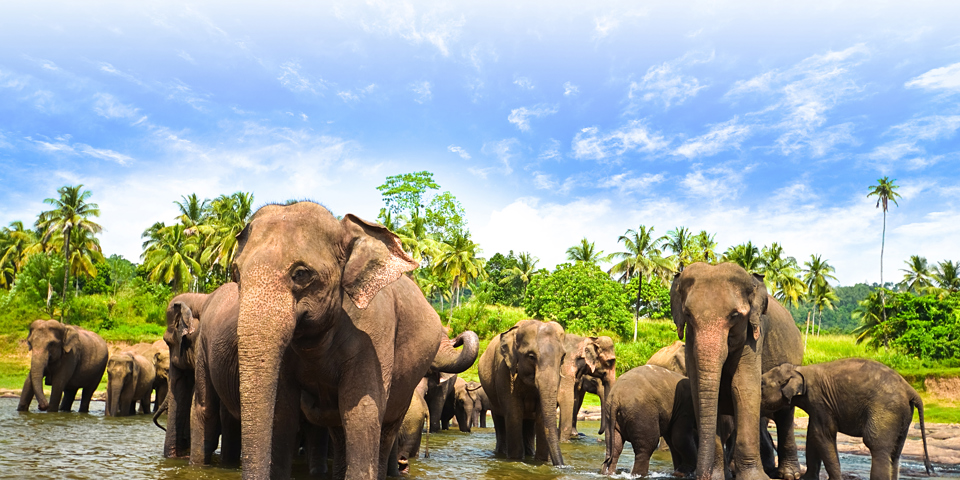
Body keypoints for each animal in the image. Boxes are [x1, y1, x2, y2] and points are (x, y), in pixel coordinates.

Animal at [229, 202, 476, 480]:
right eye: (236, 273)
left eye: (301, 274)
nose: (457, 337)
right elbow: (282, 414)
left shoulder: (374, 333)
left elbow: (362, 413)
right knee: (339, 431)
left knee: (386, 429)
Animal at [478, 318, 568, 464]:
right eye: (531, 356)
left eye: (563, 357)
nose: (561, 466)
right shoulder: (504, 371)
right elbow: (514, 413)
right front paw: (515, 460)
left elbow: (541, 416)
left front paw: (542, 461)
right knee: (499, 420)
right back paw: (501, 453)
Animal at [672, 264, 808, 480]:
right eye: (688, 315)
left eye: (735, 316)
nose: (700, 475)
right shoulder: (690, 341)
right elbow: (701, 392)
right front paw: (718, 477)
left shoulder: (754, 336)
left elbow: (744, 388)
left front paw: (755, 478)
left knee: (785, 415)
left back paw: (789, 474)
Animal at [760, 358, 932, 480]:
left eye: (761, 384)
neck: (799, 369)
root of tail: (910, 390)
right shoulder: (817, 406)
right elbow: (813, 436)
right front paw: (806, 479)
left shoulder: (820, 401)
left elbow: (822, 435)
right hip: (903, 416)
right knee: (895, 453)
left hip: (886, 410)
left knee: (876, 446)